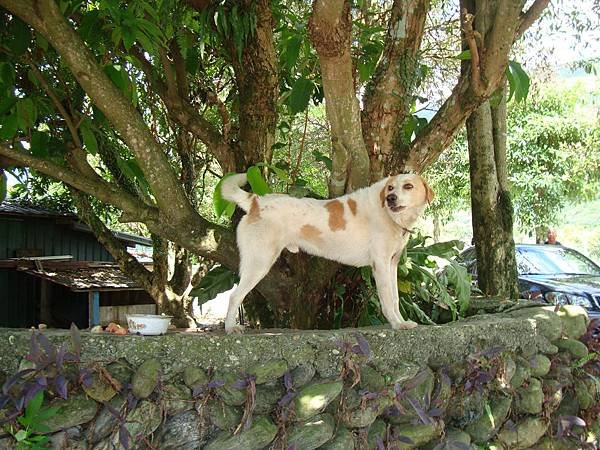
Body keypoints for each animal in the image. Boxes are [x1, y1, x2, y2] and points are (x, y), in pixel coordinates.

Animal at [218, 172, 434, 334]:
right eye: (390, 188)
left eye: (408, 186)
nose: (390, 198)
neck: (390, 216)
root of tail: (256, 202)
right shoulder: (380, 265)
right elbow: (388, 299)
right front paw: (396, 324)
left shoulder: (392, 264)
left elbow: (395, 298)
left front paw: (402, 321)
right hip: (259, 263)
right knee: (235, 296)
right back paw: (230, 328)